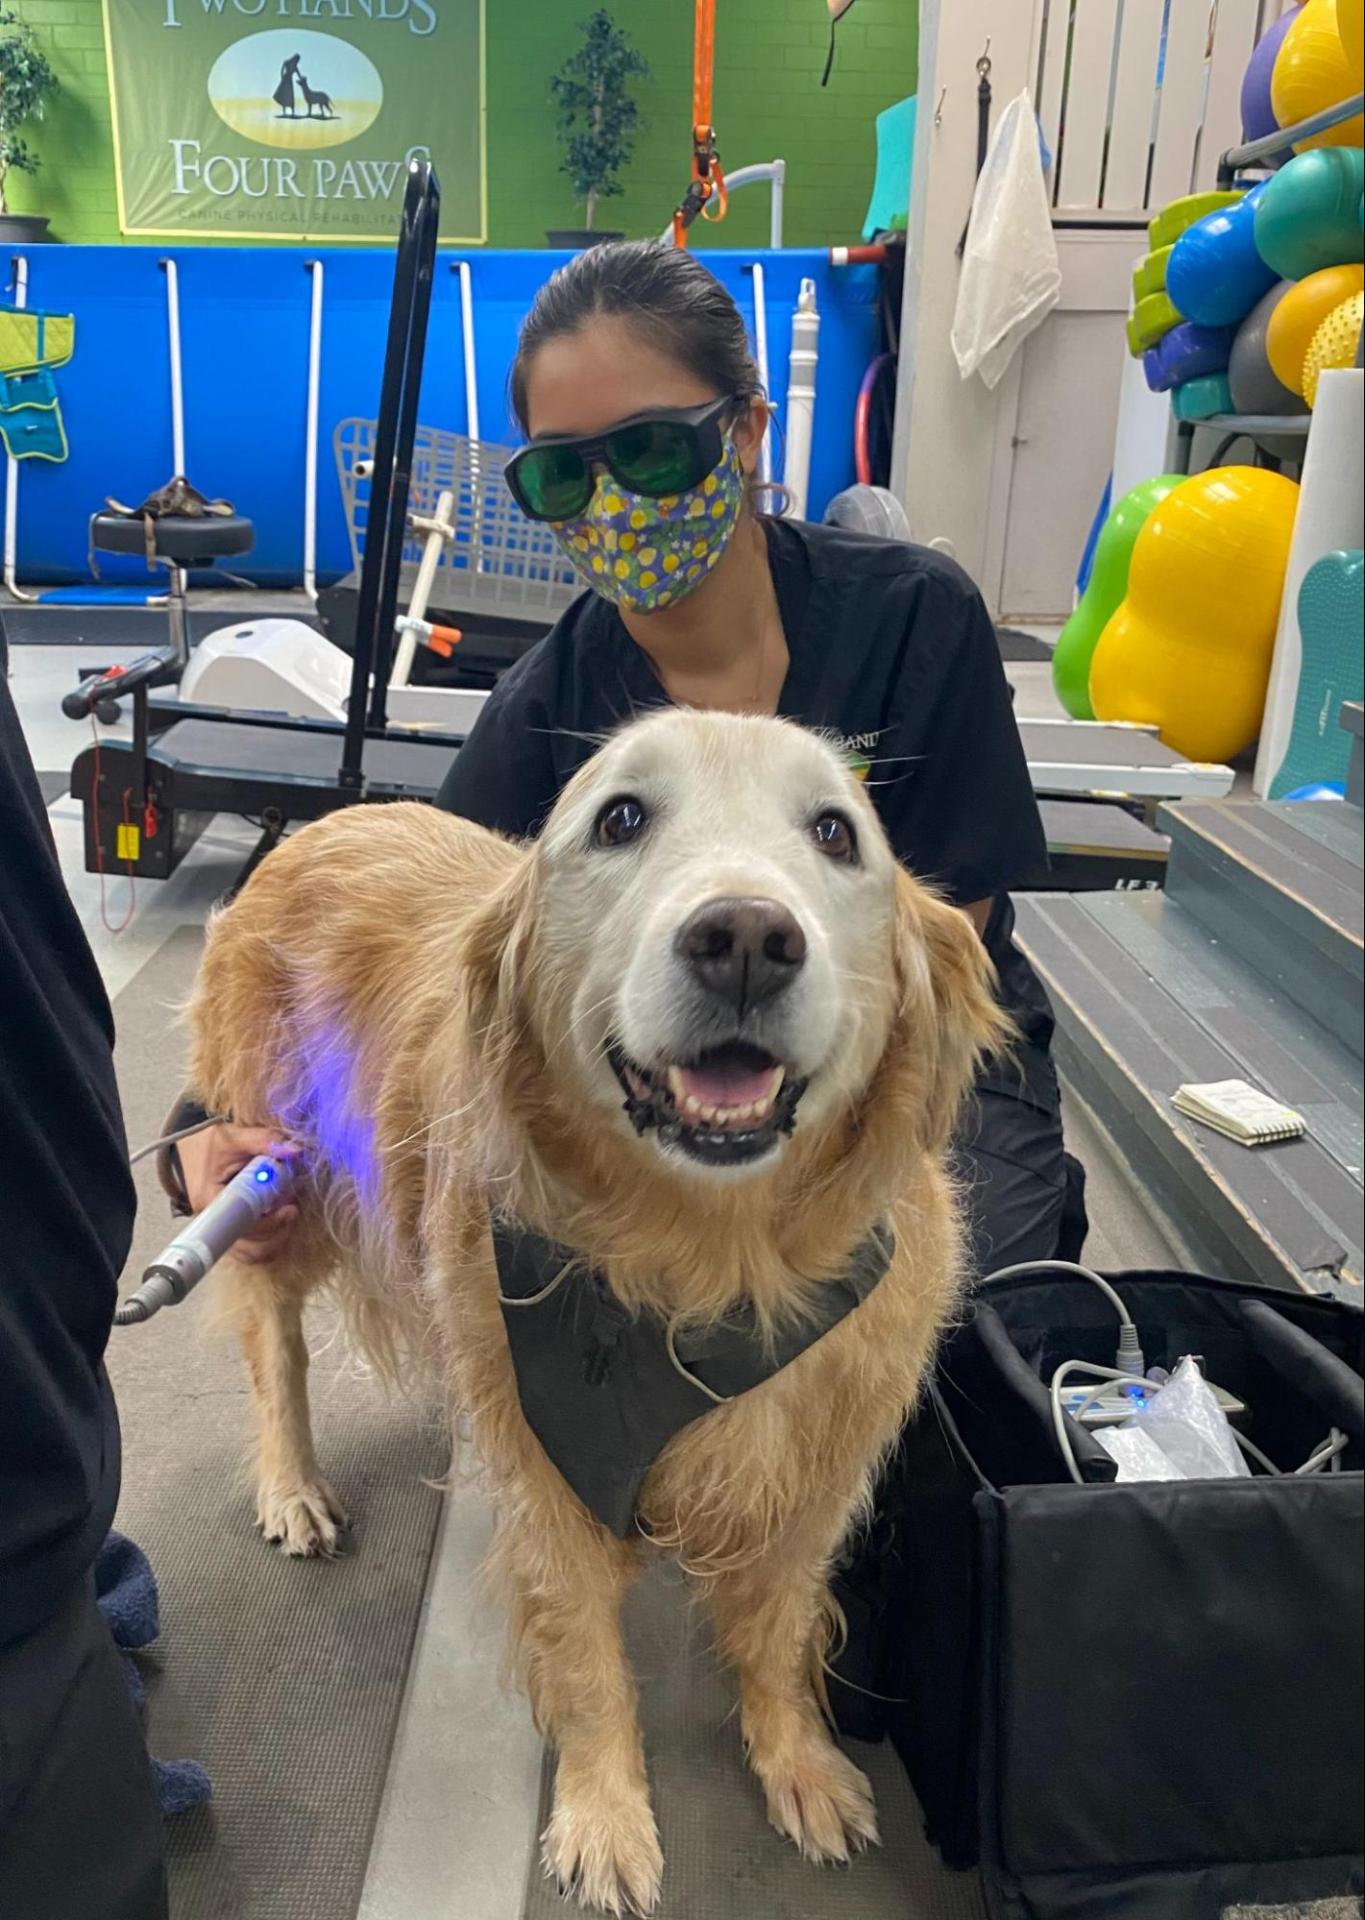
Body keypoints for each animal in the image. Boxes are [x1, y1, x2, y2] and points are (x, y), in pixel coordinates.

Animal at [187, 710, 1005, 1920]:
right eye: (620, 818)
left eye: (835, 832)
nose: (747, 936)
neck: (710, 1268)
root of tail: (326, 822)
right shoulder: (553, 1475)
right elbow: (584, 1663)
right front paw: (607, 1817)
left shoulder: (813, 1479)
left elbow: (779, 1630)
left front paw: (798, 1762)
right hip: (279, 1180)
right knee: (271, 1348)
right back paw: (292, 1486)